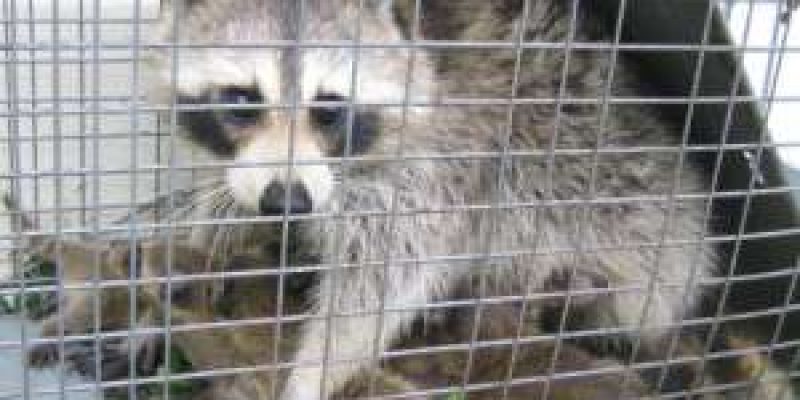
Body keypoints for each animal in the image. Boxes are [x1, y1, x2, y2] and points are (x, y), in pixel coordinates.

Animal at [148, 1, 717, 399]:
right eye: (241, 100)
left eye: (329, 109)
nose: (285, 200)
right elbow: (221, 203)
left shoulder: (443, 162)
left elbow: (381, 282)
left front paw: (314, 371)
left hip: (630, 204)